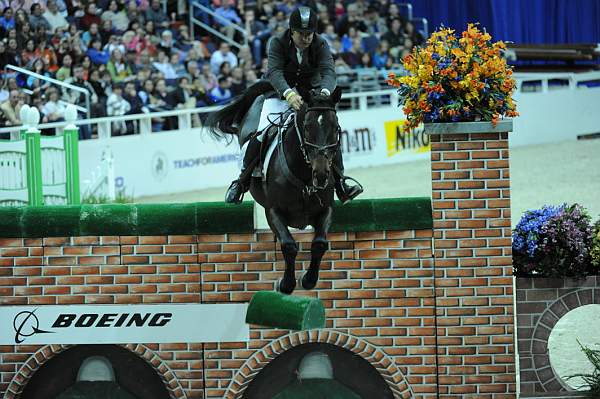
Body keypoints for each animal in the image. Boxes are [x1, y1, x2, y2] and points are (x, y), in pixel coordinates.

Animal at [204, 80, 342, 294]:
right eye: (307, 127)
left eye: (335, 127)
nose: (320, 175)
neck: (304, 179)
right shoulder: (273, 211)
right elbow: (289, 245)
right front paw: (286, 284)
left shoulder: (325, 209)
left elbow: (319, 244)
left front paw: (308, 280)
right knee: (257, 139)